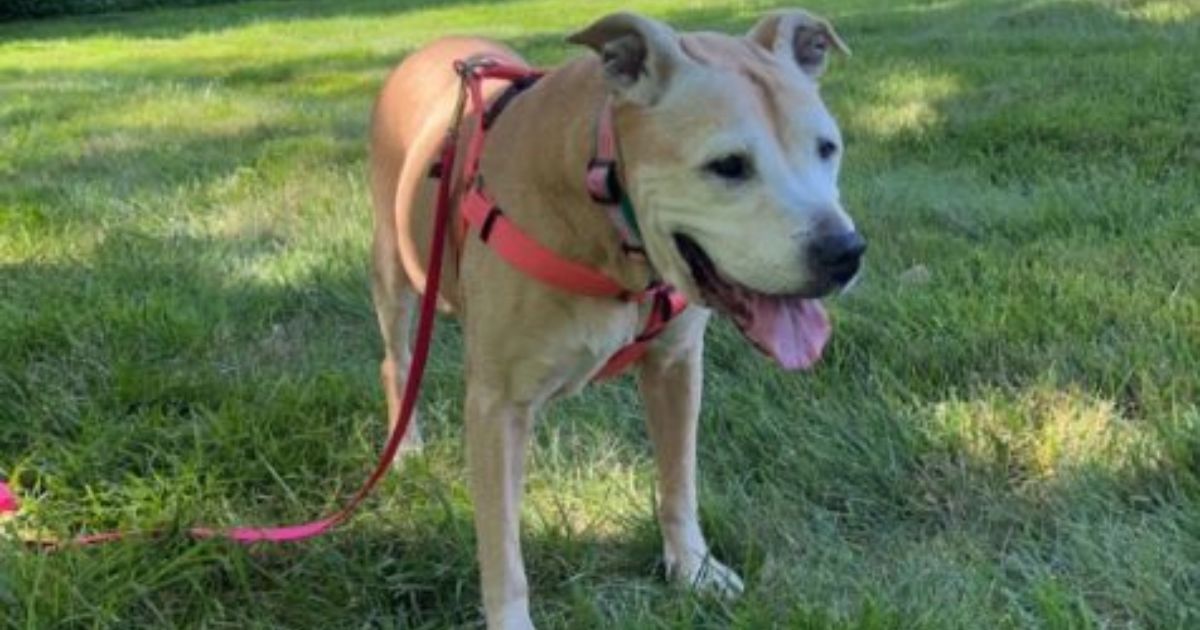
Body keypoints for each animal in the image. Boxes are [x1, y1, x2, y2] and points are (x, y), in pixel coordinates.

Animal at [364, 9, 864, 628]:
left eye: (827, 148)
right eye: (727, 166)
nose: (844, 252)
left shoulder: (676, 367)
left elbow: (679, 480)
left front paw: (692, 568)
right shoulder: (497, 403)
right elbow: (502, 549)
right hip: (394, 266)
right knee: (397, 360)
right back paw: (405, 448)